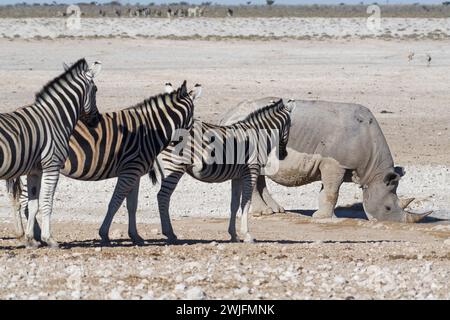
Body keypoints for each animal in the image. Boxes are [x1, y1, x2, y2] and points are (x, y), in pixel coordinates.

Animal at [1, 58, 101, 248]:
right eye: (96, 90)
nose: (97, 120)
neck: (56, 119)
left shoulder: (35, 171)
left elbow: (33, 204)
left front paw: (31, 239)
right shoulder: (52, 166)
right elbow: (47, 202)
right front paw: (49, 239)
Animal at [11, 80, 201, 245]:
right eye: (192, 117)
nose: (181, 149)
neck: (151, 131)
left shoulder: (135, 173)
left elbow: (132, 205)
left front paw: (136, 236)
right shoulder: (129, 171)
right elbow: (114, 202)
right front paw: (104, 234)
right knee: (25, 202)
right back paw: (35, 236)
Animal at [149, 85, 294, 242]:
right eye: (290, 126)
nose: (284, 155)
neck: (258, 135)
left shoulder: (237, 176)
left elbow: (234, 204)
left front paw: (233, 235)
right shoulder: (251, 172)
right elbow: (246, 202)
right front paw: (247, 234)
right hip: (174, 166)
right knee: (163, 197)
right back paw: (169, 233)